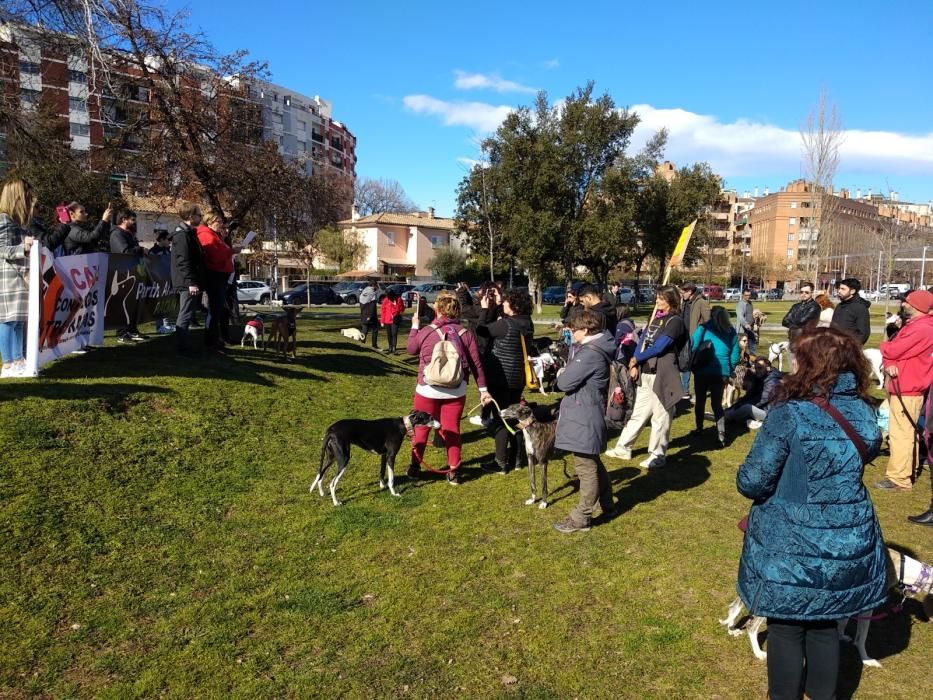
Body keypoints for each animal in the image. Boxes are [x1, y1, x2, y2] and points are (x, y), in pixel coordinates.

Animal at [720, 548, 932, 668]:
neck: (900, 566)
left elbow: (843, 621)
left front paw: (841, 636)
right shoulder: (866, 607)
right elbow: (862, 638)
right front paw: (867, 660)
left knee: (734, 606)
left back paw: (732, 629)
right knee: (752, 626)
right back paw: (758, 653)